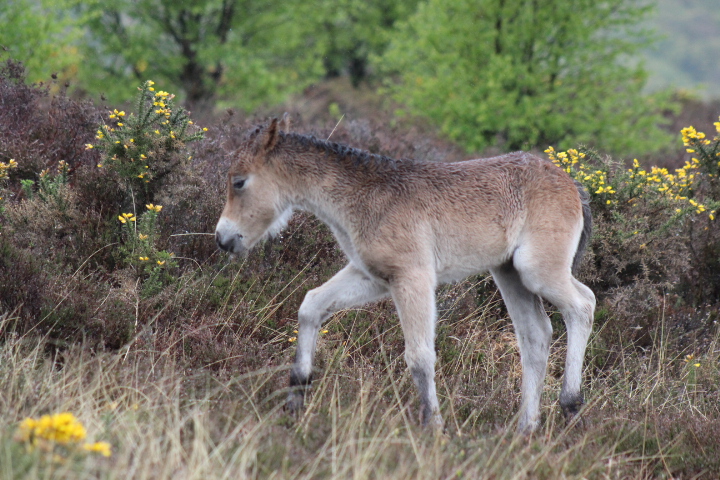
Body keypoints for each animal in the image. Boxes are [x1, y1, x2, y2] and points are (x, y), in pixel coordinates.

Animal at [215, 118, 596, 434]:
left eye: (239, 182)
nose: (223, 238)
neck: (364, 197)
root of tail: (571, 184)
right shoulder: (371, 276)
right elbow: (311, 305)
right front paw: (297, 392)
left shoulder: (413, 278)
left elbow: (419, 356)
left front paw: (433, 427)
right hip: (508, 273)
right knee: (535, 335)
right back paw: (525, 429)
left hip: (537, 270)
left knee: (583, 304)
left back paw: (570, 403)